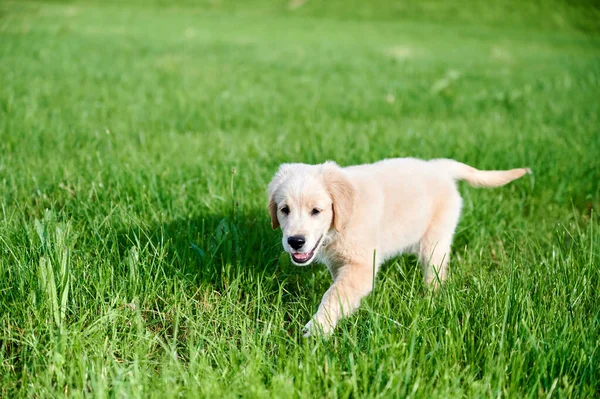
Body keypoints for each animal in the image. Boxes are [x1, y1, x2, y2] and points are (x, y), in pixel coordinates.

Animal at [268, 158, 528, 336]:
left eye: (316, 211)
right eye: (284, 210)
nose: (295, 241)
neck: (344, 220)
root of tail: (439, 167)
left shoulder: (361, 267)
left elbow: (334, 294)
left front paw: (318, 328)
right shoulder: (339, 263)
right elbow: (339, 289)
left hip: (435, 240)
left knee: (435, 272)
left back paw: (430, 299)